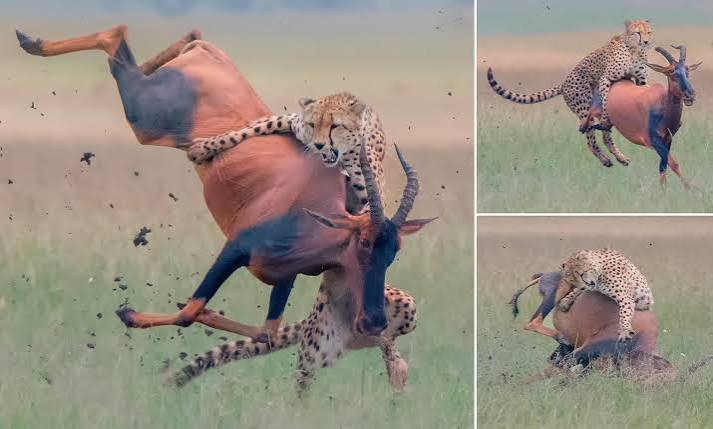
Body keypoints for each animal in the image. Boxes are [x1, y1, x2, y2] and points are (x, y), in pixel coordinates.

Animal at [187, 92, 387, 214]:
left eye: (335, 126)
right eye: (312, 125)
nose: (319, 145)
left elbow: (377, 204)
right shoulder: (294, 122)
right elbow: (251, 129)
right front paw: (202, 148)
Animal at [487, 19, 653, 168]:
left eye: (649, 32)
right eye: (638, 33)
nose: (646, 42)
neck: (634, 50)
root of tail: (564, 83)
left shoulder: (640, 80)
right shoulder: (606, 78)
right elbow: (606, 99)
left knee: (601, 136)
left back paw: (621, 158)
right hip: (585, 110)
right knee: (591, 139)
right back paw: (606, 159)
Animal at [583, 45, 701, 188]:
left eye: (687, 70)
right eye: (671, 72)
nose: (690, 95)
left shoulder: (667, 140)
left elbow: (663, 167)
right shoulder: (653, 141)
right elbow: (673, 164)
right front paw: (689, 188)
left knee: (603, 132)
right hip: (594, 111)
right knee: (587, 126)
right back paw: (606, 157)